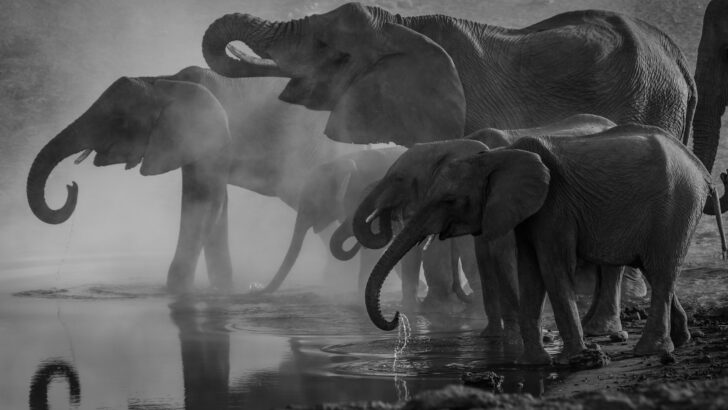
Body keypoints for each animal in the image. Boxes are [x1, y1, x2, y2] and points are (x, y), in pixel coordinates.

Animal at [26, 66, 361, 293]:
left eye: (118, 120)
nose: (71, 187)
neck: (164, 80)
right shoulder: (191, 143)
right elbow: (214, 206)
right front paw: (221, 291)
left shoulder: (209, 135)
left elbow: (204, 204)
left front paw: (176, 293)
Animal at [365, 124, 728, 365]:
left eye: (449, 200)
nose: (396, 316)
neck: (497, 157)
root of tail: (702, 171)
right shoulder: (526, 211)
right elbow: (530, 271)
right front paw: (534, 361)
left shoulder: (556, 205)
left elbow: (553, 267)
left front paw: (574, 358)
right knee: (656, 270)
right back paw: (680, 341)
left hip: (677, 206)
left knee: (661, 270)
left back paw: (650, 350)